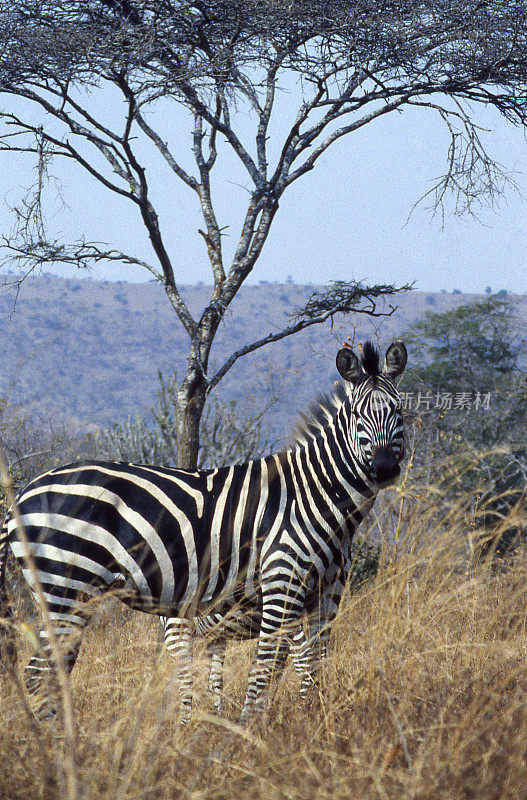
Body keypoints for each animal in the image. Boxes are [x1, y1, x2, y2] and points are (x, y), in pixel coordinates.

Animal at [0, 340, 408, 720]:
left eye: (399, 410)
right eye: (356, 415)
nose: (385, 468)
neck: (314, 493)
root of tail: (21, 495)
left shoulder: (327, 594)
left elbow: (313, 662)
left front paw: (315, 720)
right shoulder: (281, 583)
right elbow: (267, 665)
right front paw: (249, 730)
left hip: (68, 596)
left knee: (54, 672)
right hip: (65, 587)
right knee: (40, 675)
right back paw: (57, 744)